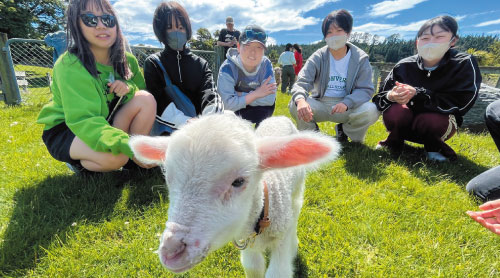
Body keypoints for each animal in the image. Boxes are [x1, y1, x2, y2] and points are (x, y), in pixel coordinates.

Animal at [129, 114, 340, 276]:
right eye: (168, 178)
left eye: (238, 182)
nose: (171, 251)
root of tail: (278, 117)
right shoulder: (248, 244)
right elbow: (253, 267)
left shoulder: (281, 235)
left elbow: (277, 272)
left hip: (296, 191)